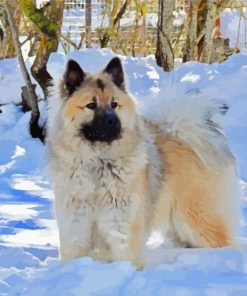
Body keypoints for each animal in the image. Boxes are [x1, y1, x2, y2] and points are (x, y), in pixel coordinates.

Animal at [47, 56, 240, 268]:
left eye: (114, 104)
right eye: (91, 105)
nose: (112, 121)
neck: (99, 162)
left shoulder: (122, 226)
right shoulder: (75, 228)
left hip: (198, 220)